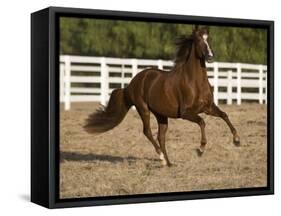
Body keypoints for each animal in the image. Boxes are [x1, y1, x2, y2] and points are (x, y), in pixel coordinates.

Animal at [83, 26, 238, 166]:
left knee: (160, 137)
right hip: (143, 109)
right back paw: (162, 158)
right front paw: (200, 149)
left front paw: (237, 140)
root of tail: (131, 85)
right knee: (147, 132)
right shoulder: (186, 113)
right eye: (199, 39)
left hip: (161, 115)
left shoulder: (208, 107)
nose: (210, 56)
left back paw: (168, 163)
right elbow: (202, 122)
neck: (195, 82)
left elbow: (224, 115)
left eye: (208, 39)